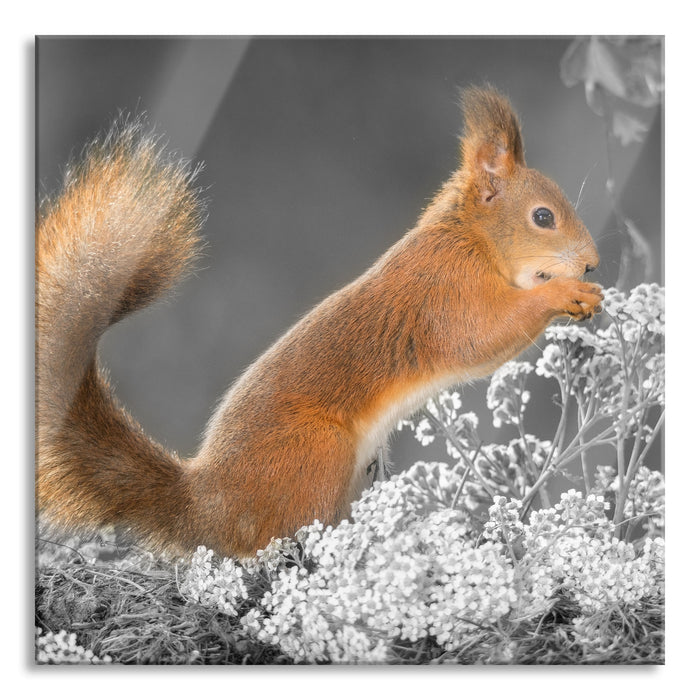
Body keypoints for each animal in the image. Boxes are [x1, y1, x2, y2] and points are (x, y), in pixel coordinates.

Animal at [36, 87, 602, 558]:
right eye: (543, 217)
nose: (593, 264)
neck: (469, 237)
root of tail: (207, 504)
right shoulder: (446, 292)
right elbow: (482, 337)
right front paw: (563, 294)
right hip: (316, 453)